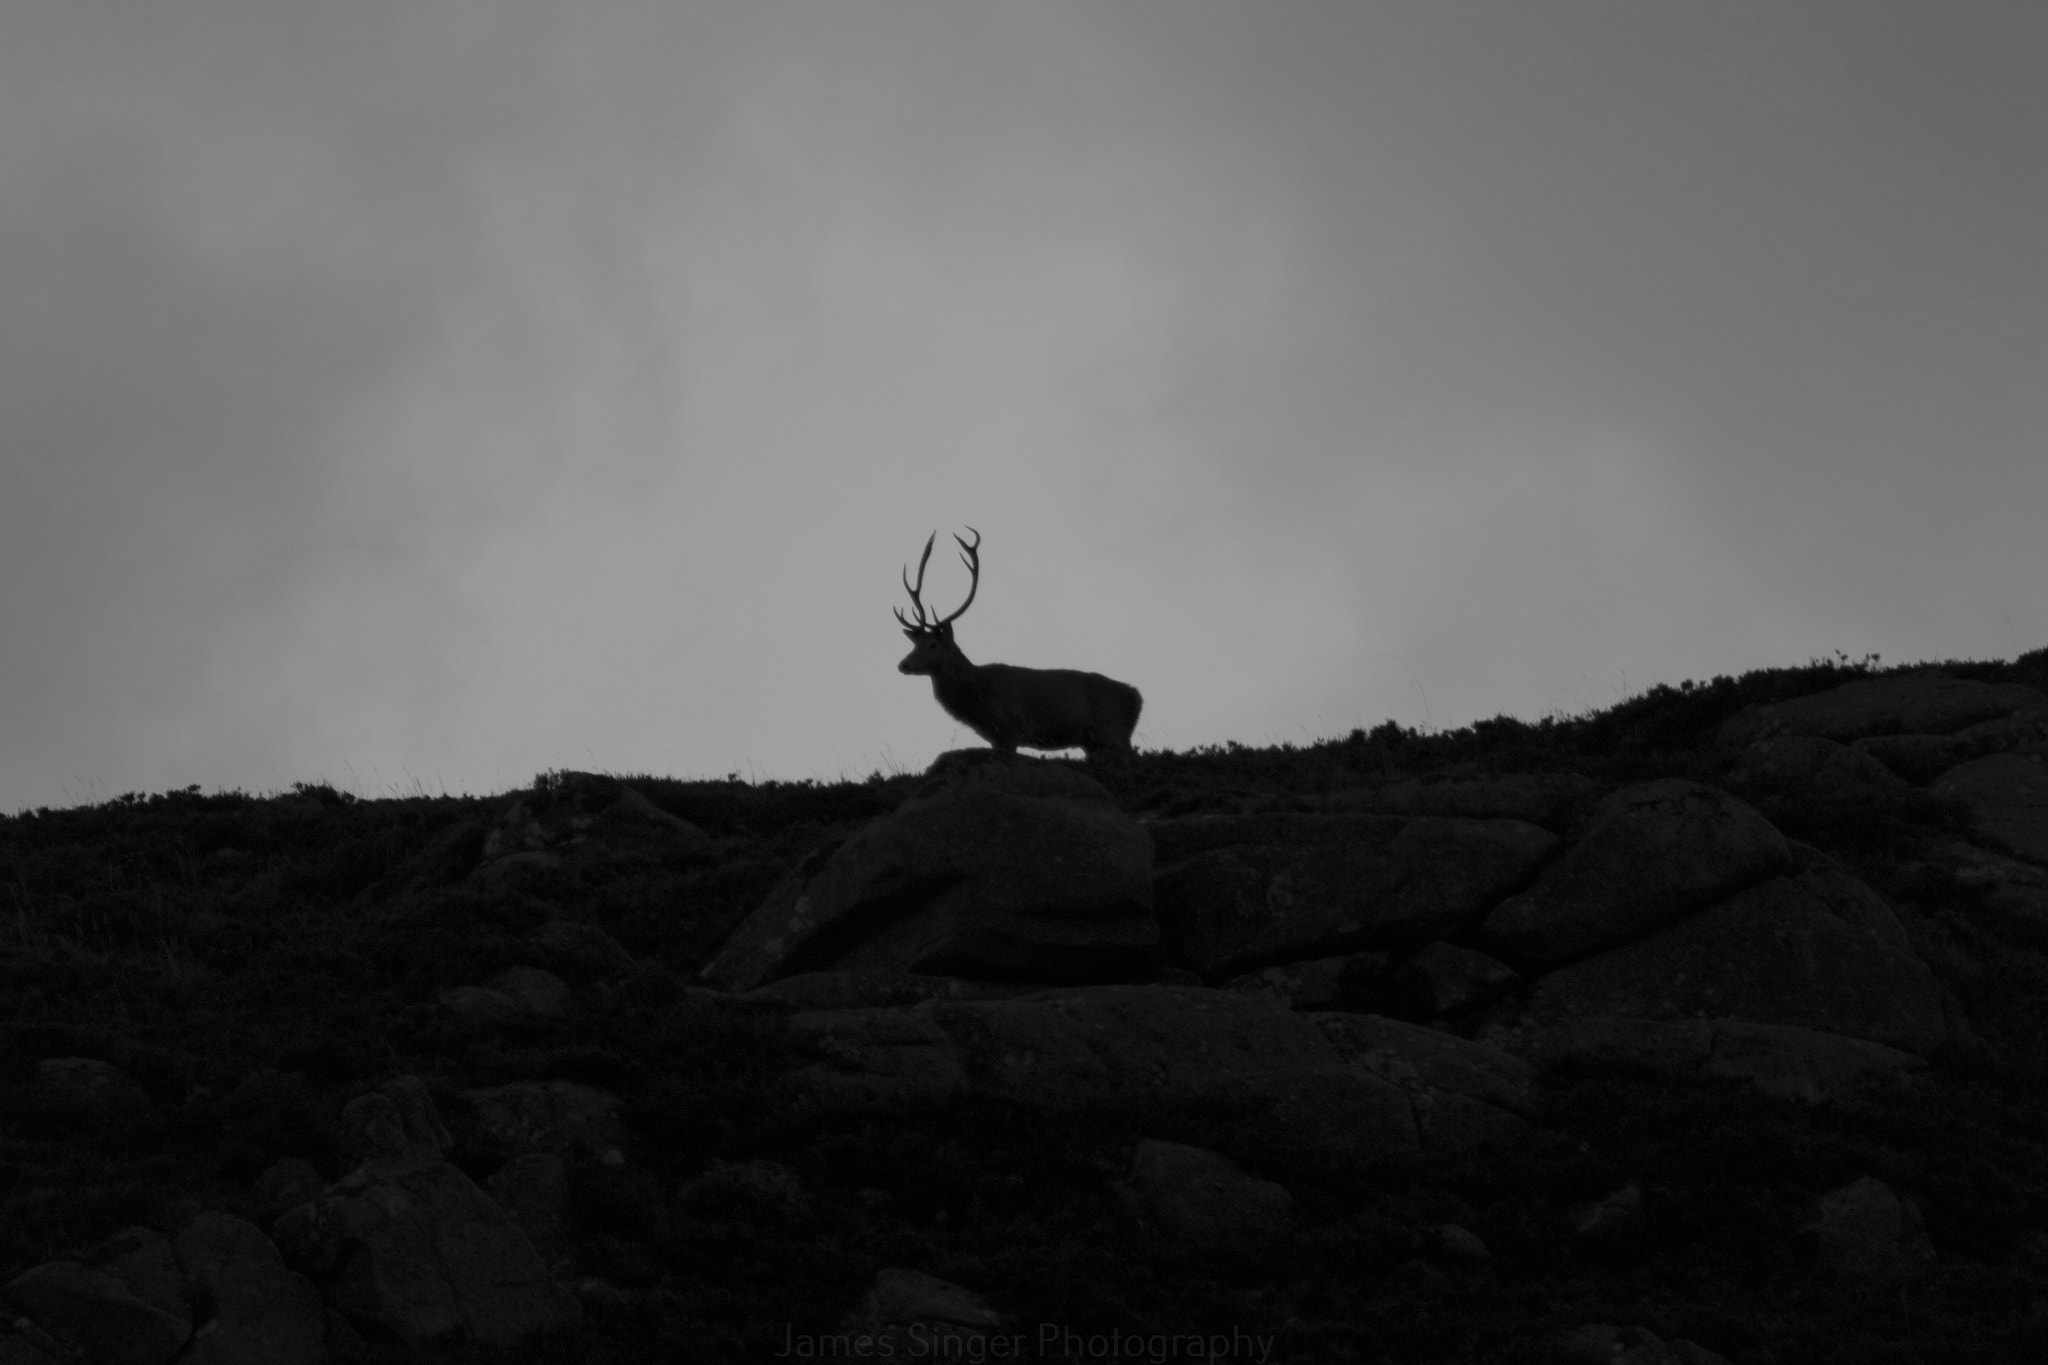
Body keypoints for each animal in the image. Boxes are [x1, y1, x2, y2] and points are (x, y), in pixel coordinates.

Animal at [894, 528, 1143, 758]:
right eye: (915, 644)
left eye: (933, 645)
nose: (902, 665)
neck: (979, 699)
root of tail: (1138, 698)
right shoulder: (995, 737)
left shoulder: (1009, 730)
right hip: (1092, 742)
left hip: (1112, 730)